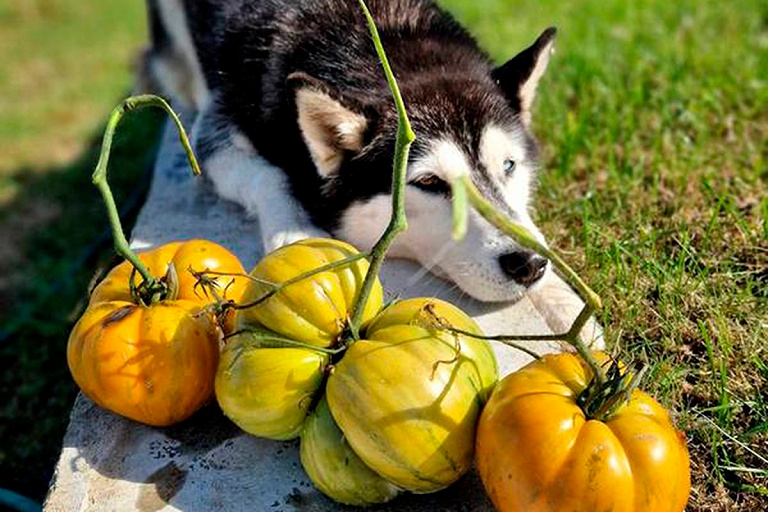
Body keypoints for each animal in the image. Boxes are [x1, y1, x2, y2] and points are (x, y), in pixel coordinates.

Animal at [141, 0, 556, 302]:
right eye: (429, 182)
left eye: (508, 165)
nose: (530, 263)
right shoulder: (215, 131)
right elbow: (268, 174)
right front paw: (297, 233)